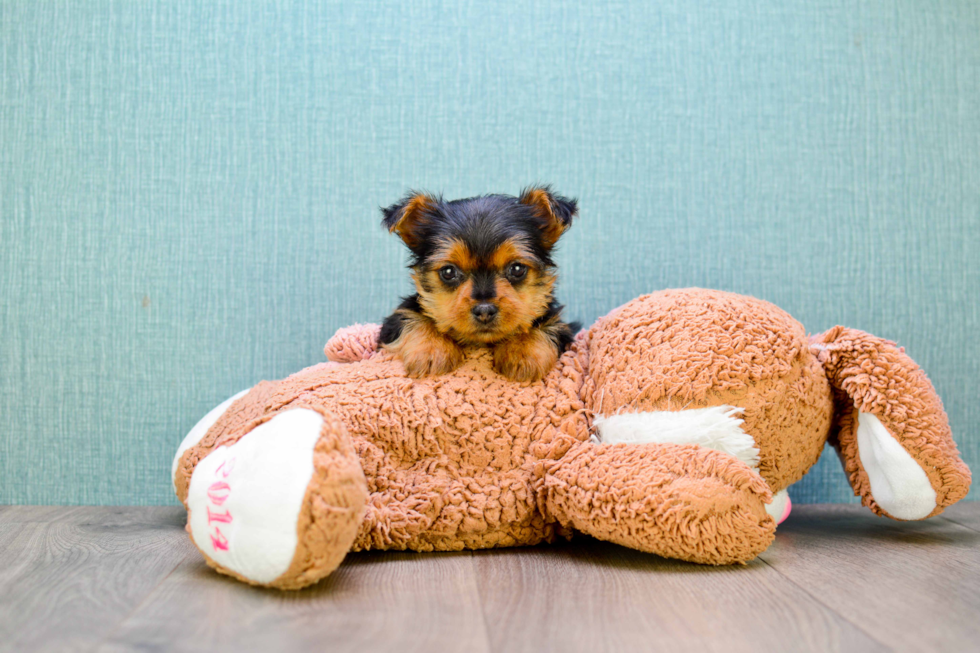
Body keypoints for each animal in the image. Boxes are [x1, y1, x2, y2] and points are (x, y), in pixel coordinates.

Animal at [378, 186, 580, 382]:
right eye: (448, 272)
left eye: (517, 268)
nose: (484, 311)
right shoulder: (394, 322)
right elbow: (414, 318)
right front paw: (432, 350)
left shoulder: (562, 326)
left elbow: (544, 325)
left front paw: (524, 352)